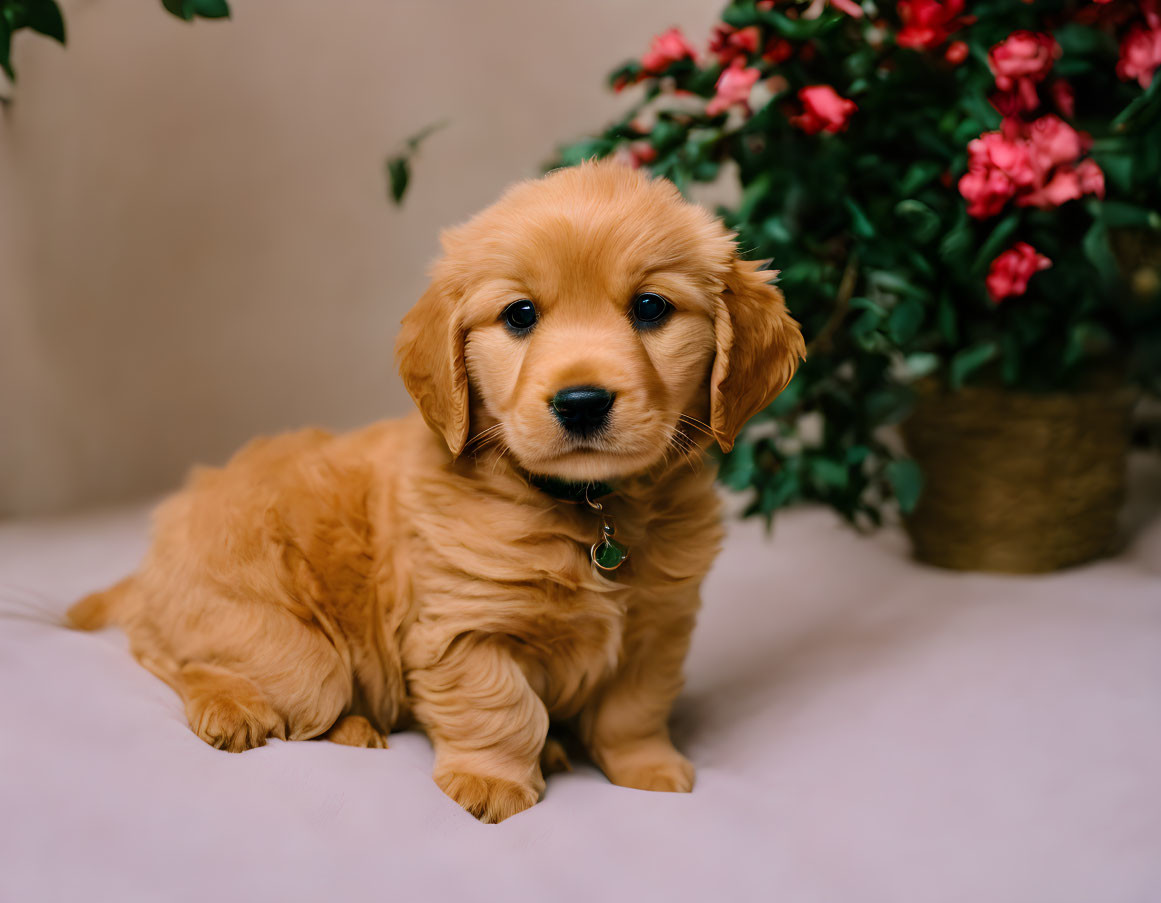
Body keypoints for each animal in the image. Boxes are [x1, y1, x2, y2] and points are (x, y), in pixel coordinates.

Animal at [67, 157, 803, 821]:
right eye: (520, 315)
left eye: (650, 307)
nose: (582, 402)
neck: (589, 509)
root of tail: (157, 548)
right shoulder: (463, 625)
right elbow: (500, 706)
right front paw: (493, 782)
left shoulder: (660, 625)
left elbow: (634, 709)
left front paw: (647, 769)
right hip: (291, 654)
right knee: (174, 656)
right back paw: (238, 709)